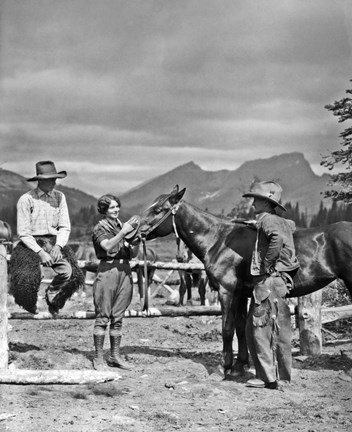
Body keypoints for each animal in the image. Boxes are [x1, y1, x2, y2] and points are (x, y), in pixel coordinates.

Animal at [140, 186, 352, 378]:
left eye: (158, 210)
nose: (137, 231)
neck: (218, 240)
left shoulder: (227, 291)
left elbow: (227, 328)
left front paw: (224, 368)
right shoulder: (241, 294)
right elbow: (240, 328)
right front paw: (239, 366)